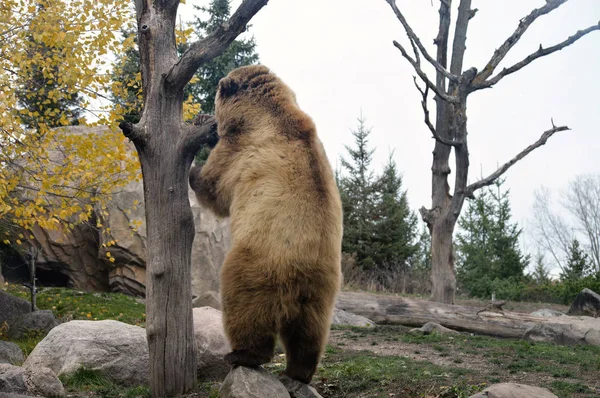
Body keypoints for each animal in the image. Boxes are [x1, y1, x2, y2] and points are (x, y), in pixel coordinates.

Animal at [192, 64, 342, 382]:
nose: (205, 117)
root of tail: (302, 274)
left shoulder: (241, 152)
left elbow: (215, 186)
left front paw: (194, 167)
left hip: (258, 266)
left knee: (245, 309)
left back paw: (242, 354)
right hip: (322, 291)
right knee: (309, 334)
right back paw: (299, 371)